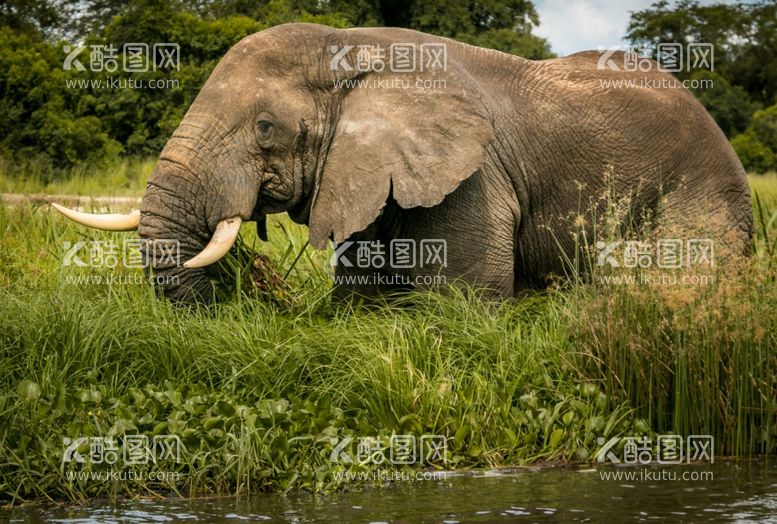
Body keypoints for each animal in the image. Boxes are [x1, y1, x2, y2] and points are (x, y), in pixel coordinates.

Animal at [53, 23, 752, 302]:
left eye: (265, 128)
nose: (236, 300)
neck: (347, 45)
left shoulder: (476, 179)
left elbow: (461, 306)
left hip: (697, 195)